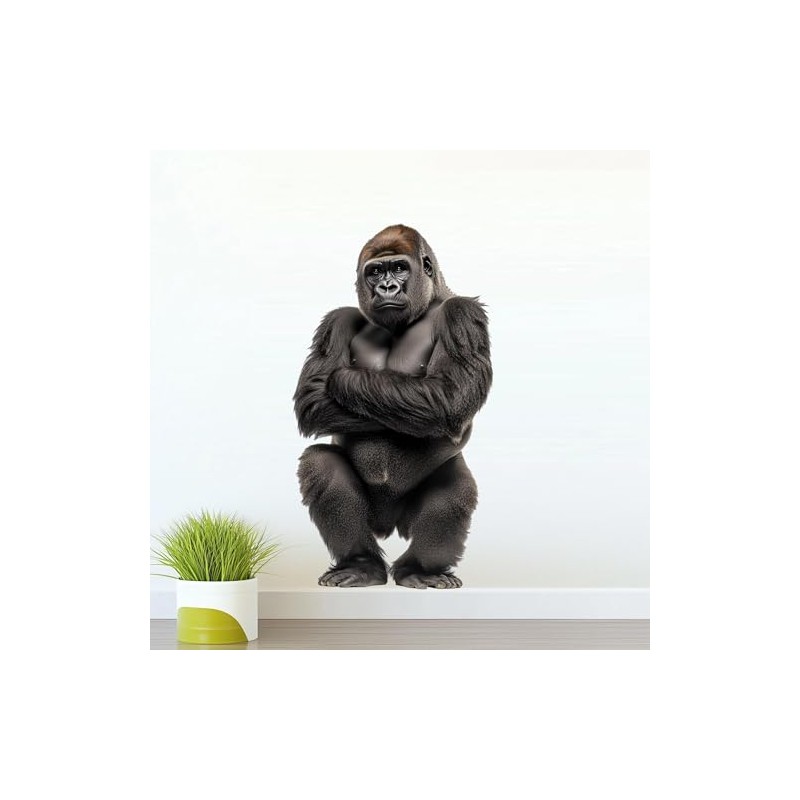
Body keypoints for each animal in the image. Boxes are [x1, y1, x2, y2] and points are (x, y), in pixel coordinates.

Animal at [293, 225, 492, 588]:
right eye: (374, 272)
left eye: (399, 268)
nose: (387, 287)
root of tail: (388, 526)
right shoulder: (338, 319)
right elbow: (313, 397)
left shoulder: (463, 315)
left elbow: (449, 397)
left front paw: (344, 379)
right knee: (320, 464)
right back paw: (360, 564)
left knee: (455, 489)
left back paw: (421, 570)